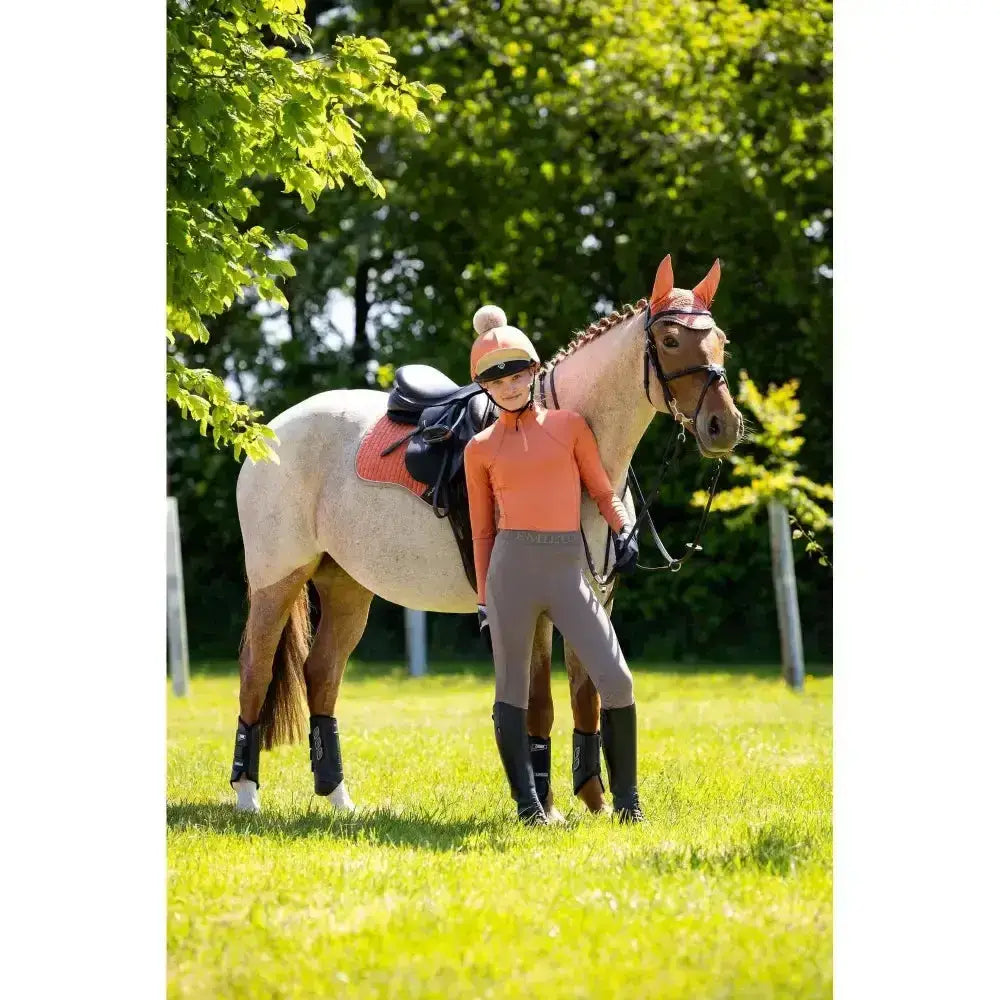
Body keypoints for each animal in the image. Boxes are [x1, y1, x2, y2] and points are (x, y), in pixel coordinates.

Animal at [231, 253, 743, 817]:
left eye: (720, 338)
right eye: (670, 340)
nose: (724, 426)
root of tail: (267, 432)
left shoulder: (595, 597)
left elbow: (587, 695)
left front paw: (595, 800)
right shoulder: (536, 605)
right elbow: (540, 702)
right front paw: (549, 804)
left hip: (346, 586)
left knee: (321, 674)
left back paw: (340, 799)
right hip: (278, 580)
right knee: (255, 673)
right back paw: (247, 795)